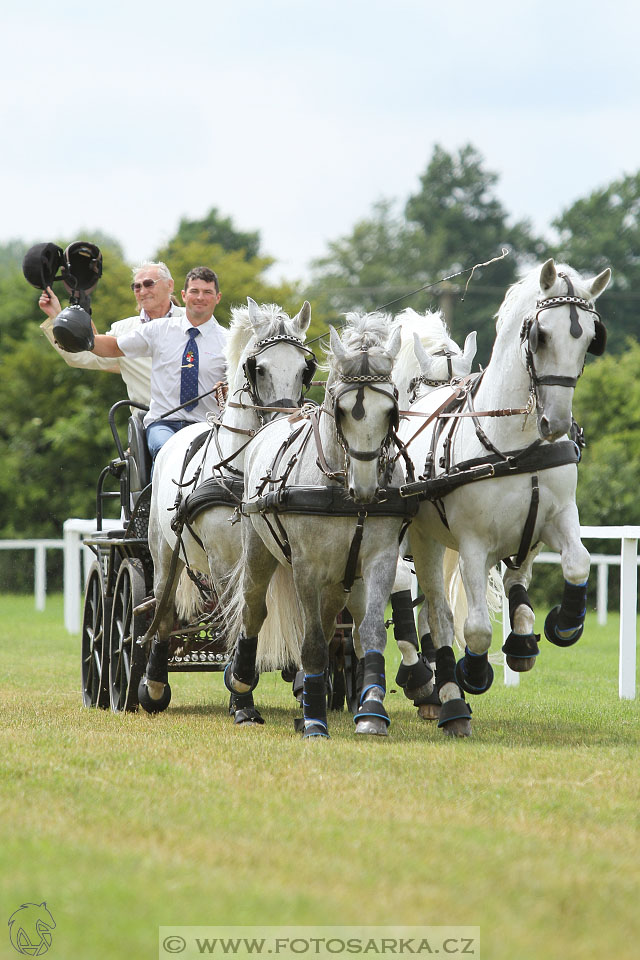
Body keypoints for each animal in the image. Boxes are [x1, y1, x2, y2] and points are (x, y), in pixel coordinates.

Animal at [139, 296, 314, 716]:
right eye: (258, 367)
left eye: (305, 369)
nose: (287, 422)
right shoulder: (223, 560)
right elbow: (242, 614)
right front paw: (242, 698)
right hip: (164, 553)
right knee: (163, 615)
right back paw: (153, 685)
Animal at [222, 312, 410, 740]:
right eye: (341, 409)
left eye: (390, 409)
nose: (366, 487)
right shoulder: (306, 567)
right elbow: (309, 645)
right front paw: (313, 722)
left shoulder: (380, 561)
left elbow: (369, 634)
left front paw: (371, 711)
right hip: (259, 553)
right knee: (254, 612)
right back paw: (242, 690)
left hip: (340, 581)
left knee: (331, 629)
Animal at [400, 258, 608, 740]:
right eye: (541, 335)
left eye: (590, 337)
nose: (557, 423)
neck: (515, 441)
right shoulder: (473, 544)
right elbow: (474, 628)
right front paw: (472, 674)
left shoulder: (556, 517)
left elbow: (577, 563)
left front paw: (563, 623)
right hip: (425, 540)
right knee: (438, 615)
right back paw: (447, 697)